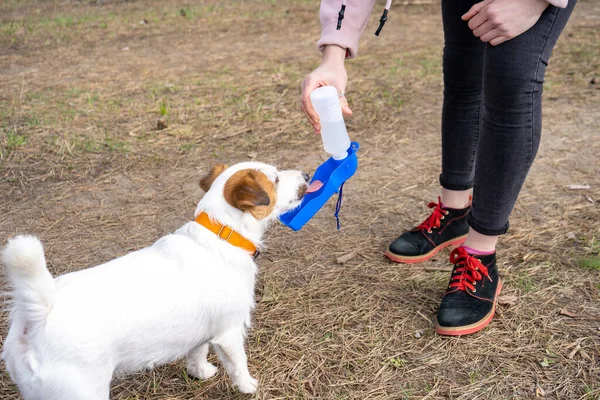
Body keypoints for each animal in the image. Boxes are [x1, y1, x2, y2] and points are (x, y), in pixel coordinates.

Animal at [0, 161, 310, 398]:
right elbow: (238, 365)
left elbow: (197, 353)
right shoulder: (230, 334)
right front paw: (248, 387)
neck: (220, 235)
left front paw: (200, 372)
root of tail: (41, 313)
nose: (307, 175)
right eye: (275, 179)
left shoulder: (201, 330)